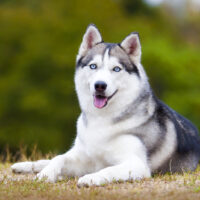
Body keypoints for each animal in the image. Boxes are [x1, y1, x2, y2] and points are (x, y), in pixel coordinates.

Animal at [11, 24, 200, 186]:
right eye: (93, 66)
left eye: (116, 69)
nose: (100, 85)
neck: (101, 120)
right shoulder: (85, 157)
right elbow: (59, 158)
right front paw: (45, 175)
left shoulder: (136, 164)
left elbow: (108, 169)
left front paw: (90, 178)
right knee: (52, 157)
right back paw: (24, 166)